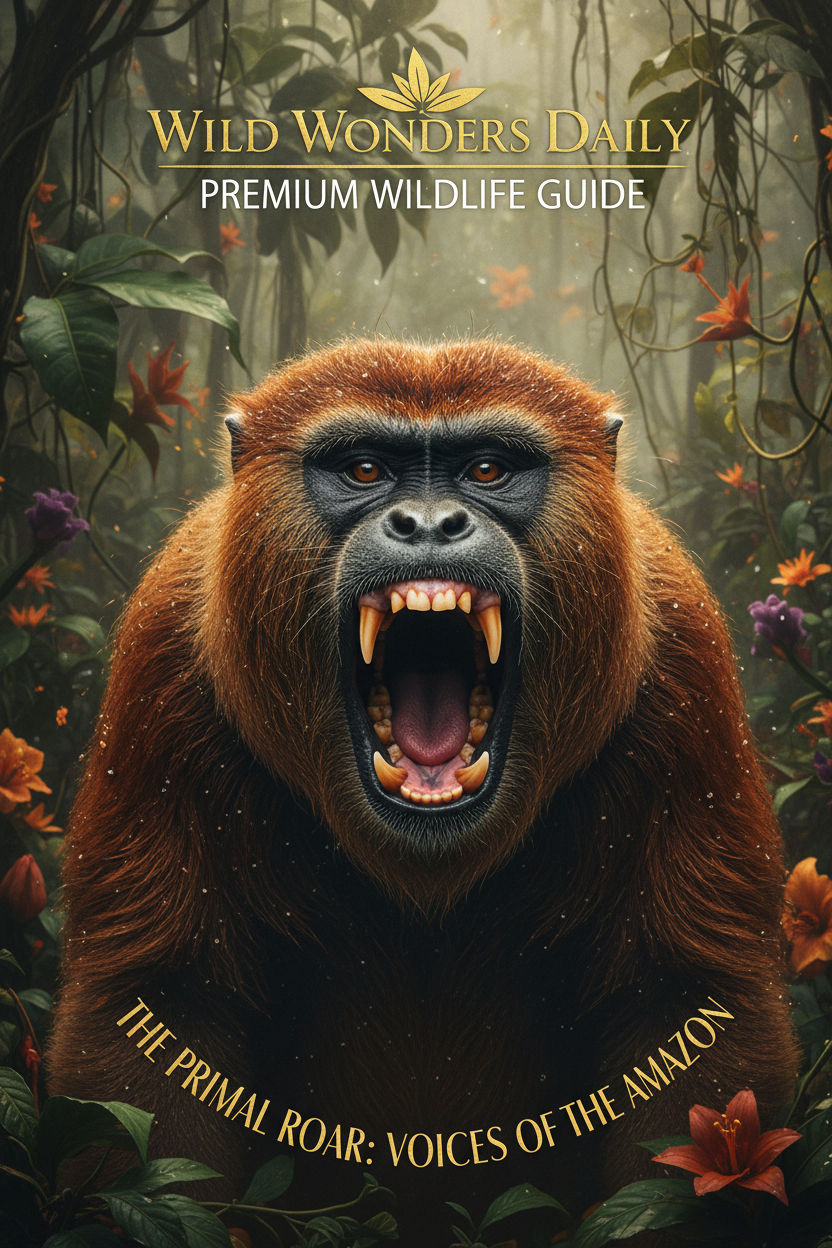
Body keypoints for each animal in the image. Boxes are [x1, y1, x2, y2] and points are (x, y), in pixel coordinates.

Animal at [48, 339, 798, 1245]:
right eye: (365, 470)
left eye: (488, 469)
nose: (431, 524)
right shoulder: (163, 654)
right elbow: (159, 1013)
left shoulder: (686, 654)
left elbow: (687, 1014)